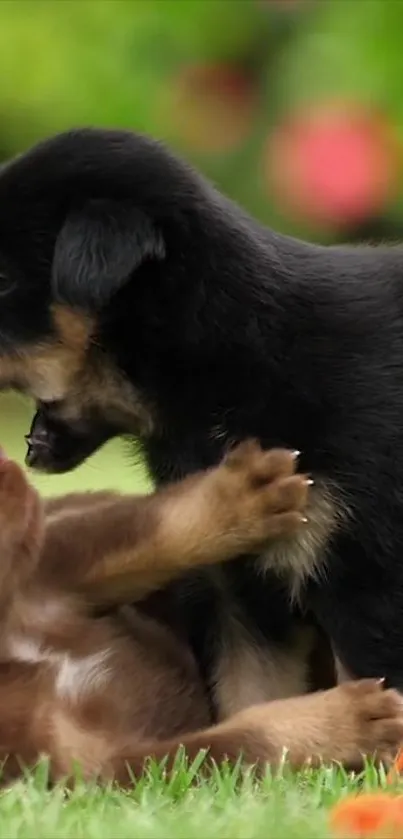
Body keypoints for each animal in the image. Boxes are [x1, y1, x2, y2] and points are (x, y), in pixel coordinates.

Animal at [0, 446, 400, 788]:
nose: (7, 464)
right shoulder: (100, 766)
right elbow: (235, 742)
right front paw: (352, 721)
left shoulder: (51, 575)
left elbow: (142, 529)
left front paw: (242, 496)